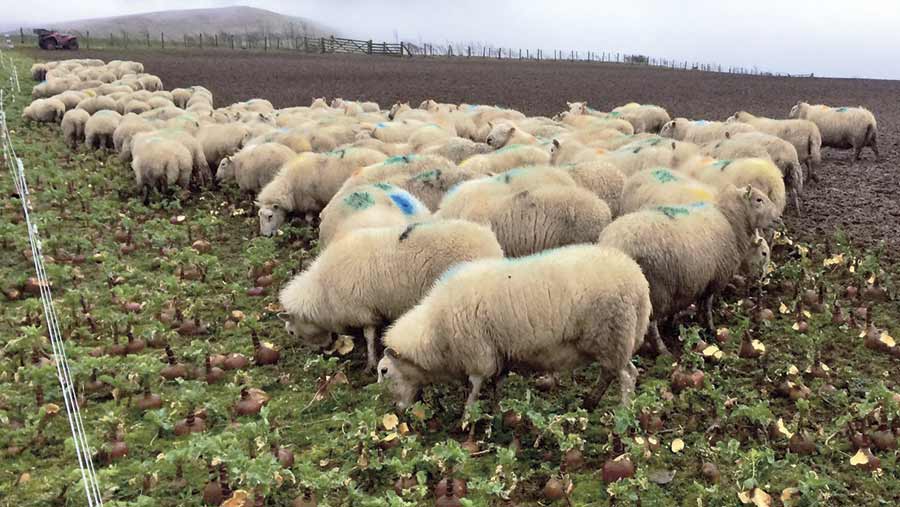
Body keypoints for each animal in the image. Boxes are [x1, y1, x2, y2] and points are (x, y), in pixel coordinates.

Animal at [256, 148, 389, 236]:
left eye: (270, 216)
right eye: (259, 215)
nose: (265, 235)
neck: (289, 185)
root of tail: (383, 157)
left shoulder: (310, 202)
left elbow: (308, 218)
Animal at [279, 219, 503, 370]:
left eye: (291, 332)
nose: (320, 351)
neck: (322, 289)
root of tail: (490, 241)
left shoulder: (362, 310)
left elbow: (369, 336)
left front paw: (370, 362)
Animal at [377, 244, 651, 412]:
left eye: (384, 371)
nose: (397, 411)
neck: (436, 329)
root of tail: (639, 281)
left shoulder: (478, 353)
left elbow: (475, 386)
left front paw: (467, 418)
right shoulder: (498, 353)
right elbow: (496, 384)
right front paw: (497, 411)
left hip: (611, 334)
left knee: (625, 375)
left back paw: (622, 412)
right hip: (617, 339)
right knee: (616, 372)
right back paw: (591, 402)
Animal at [597, 184, 780, 353]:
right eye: (759, 200)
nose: (779, 218)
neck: (730, 221)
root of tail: (615, 243)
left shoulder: (694, 280)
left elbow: (690, 304)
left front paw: (679, 323)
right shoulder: (715, 278)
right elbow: (706, 304)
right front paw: (710, 328)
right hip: (656, 289)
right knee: (651, 323)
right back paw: (663, 350)